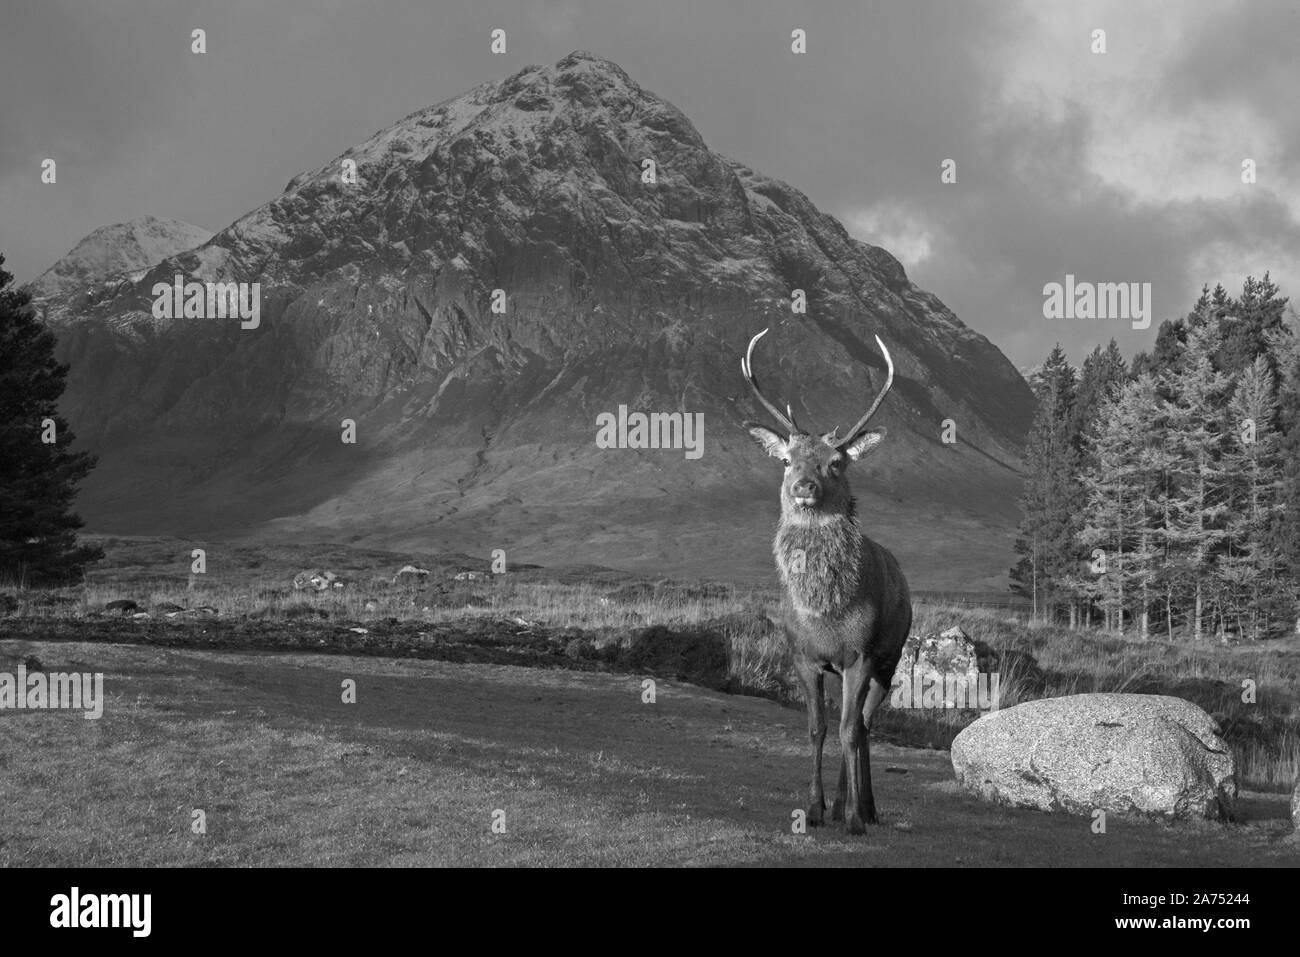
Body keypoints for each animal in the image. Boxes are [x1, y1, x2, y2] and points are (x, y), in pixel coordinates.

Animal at [740, 328, 913, 834]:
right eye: (786, 460)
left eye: (836, 461)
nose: (804, 486)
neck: (825, 611)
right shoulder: (803, 656)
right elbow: (818, 728)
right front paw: (814, 808)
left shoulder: (861, 655)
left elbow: (848, 730)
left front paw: (854, 816)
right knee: (852, 726)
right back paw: (841, 805)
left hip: (890, 659)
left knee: (864, 727)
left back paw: (864, 808)